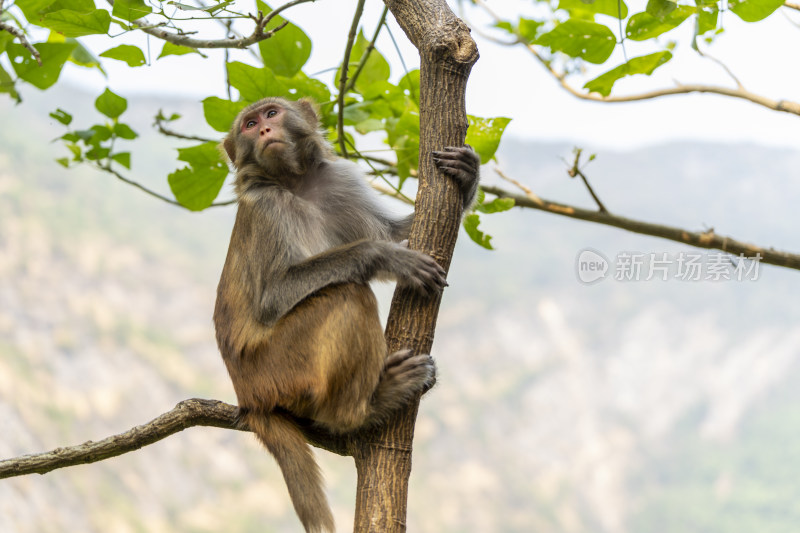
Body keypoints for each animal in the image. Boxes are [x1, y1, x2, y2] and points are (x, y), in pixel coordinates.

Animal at [212, 96, 478, 532]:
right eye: (248, 125)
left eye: (271, 114)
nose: (264, 130)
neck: (295, 183)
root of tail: (248, 398)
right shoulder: (268, 207)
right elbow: (272, 296)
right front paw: (381, 255)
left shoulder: (339, 182)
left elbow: (398, 230)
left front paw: (469, 176)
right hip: (279, 369)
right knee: (347, 295)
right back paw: (360, 409)